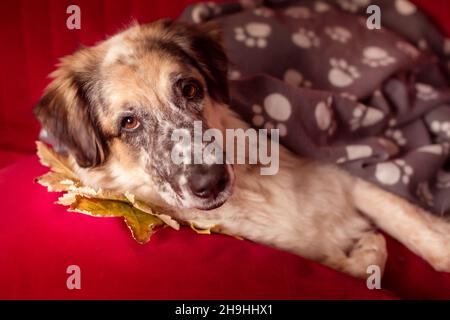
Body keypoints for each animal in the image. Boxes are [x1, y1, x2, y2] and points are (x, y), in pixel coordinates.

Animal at [34, 19, 450, 278]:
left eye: (190, 89)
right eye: (129, 123)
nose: (211, 182)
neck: (254, 188)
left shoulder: (347, 169)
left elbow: (406, 218)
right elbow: (355, 263)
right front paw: (366, 249)